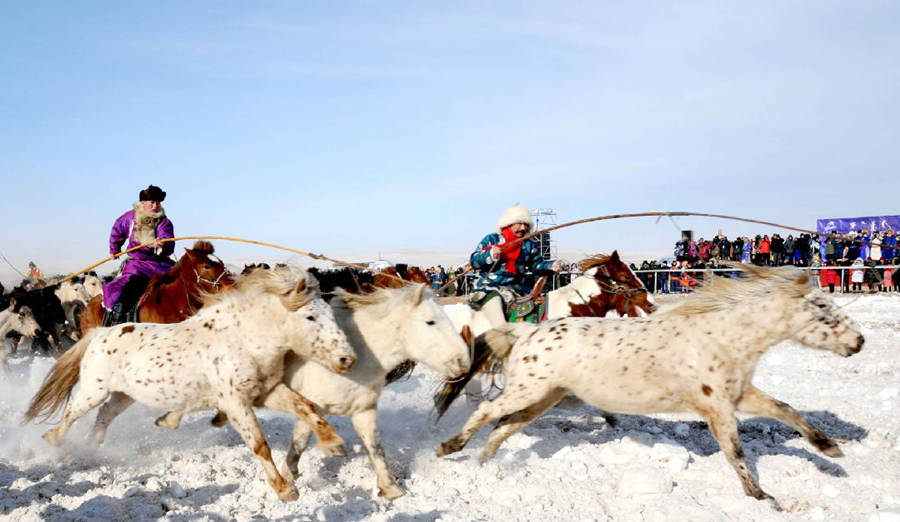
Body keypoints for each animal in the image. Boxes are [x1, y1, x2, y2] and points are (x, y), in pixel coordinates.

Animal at [24, 266, 356, 502]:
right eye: (310, 317)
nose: (347, 359)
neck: (245, 337)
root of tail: (98, 335)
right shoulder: (235, 402)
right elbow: (259, 445)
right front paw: (285, 489)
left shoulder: (266, 392)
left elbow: (305, 405)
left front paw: (333, 443)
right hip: (96, 390)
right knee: (72, 412)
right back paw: (52, 442)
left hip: (123, 395)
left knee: (105, 416)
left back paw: (94, 447)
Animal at [436, 266, 864, 506]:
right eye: (822, 308)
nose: (859, 342)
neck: (722, 333)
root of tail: (525, 333)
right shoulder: (717, 406)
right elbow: (736, 451)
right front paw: (759, 496)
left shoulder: (739, 394)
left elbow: (785, 410)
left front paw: (829, 448)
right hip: (527, 390)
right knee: (486, 411)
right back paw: (449, 447)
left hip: (544, 397)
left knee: (504, 427)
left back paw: (485, 462)